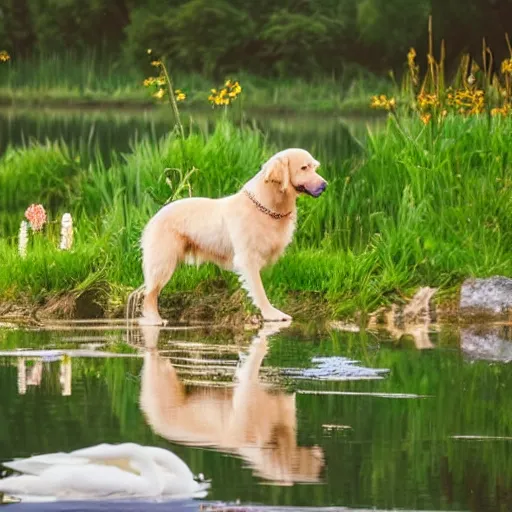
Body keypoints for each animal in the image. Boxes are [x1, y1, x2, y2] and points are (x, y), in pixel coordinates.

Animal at [138, 148, 326, 324]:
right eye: (304, 168)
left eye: (314, 167)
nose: (325, 185)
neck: (268, 205)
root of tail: (154, 217)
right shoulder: (247, 257)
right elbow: (258, 289)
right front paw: (271, 314)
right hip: (163, 261)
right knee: (150, 294)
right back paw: (156, 320)